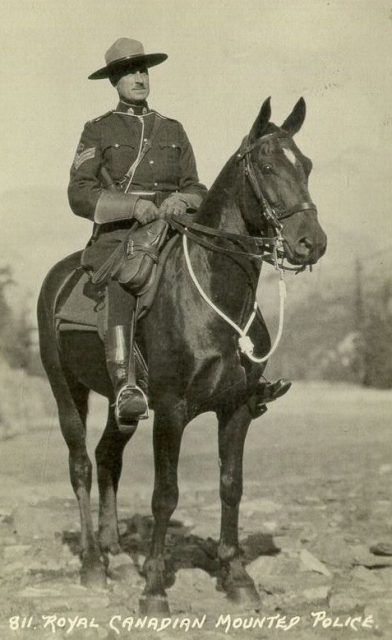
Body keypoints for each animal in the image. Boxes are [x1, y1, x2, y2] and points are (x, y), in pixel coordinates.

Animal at [38, 96, 328, 616]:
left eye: (307, 166)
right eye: (267, 166)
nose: (311, 243)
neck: (213, 294)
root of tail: (60, 275)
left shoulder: (237, 409)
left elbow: (231, 485)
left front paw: (236, 576)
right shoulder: (172, 411)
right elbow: (165, 495)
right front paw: (154, 588)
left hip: (122, 402)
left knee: (107, 455)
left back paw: (115, 551)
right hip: (66, 389)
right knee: (81, 465)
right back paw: (93, 563)